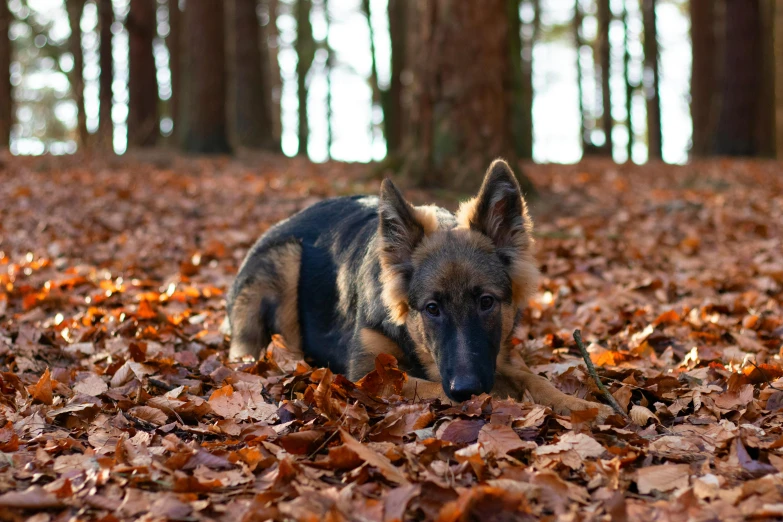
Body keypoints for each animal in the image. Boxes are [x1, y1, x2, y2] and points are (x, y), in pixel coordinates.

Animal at [224, 158, 616, 418]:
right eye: (432, 308)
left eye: (486, 302)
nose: (468, 389)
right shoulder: (367, 373)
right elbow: (431, 384)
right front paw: (509, 403)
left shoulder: (498, 356)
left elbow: (537, 381)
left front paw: (580, 405)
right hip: (286, 261)